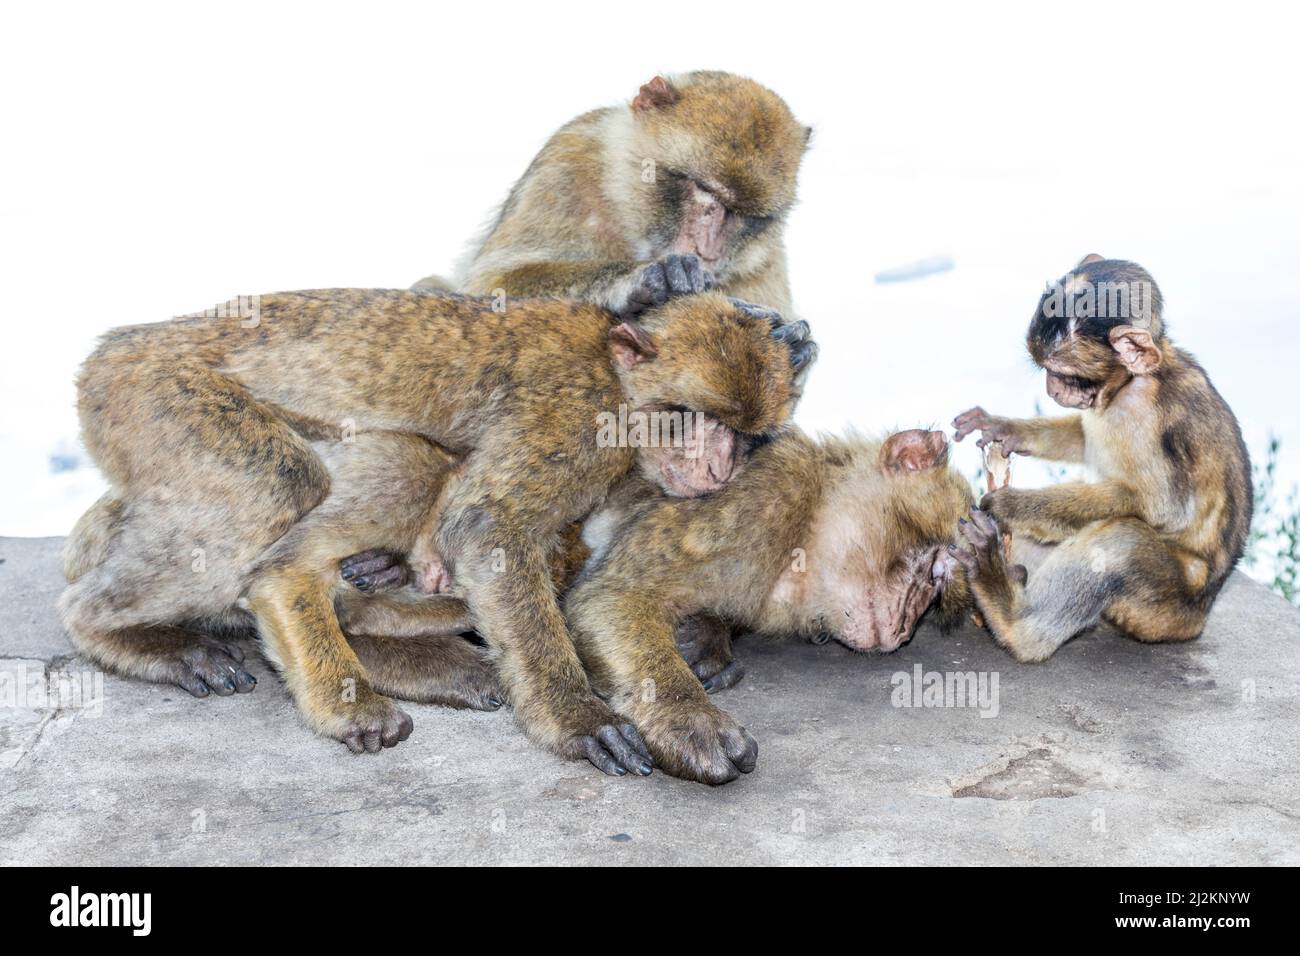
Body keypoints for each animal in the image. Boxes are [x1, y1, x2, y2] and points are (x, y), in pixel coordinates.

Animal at [63, 287, 811, 775]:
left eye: (745, 436)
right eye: (693, 417)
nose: (716, 465)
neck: (618, 382)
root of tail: (120, 343)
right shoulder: (579, 418)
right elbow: (487, 527)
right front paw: (579, 718)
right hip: (148, 397)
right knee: (293, 485)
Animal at [564, 429, 972, 785]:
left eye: (935, 598)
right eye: (935, 569)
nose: (905, 628)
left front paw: (708, 638)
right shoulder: (762, 497)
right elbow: (611, 596)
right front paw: (689, 719)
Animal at [951, 257, 1253, 671]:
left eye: (1065, 374)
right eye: (1045, 370)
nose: (1051, 388)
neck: (1130, 383)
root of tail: (1198, 619)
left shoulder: (1141, 417)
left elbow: (1161, 507)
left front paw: (1012, 505)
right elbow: (1083, 439)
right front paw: (1005, 428)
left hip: (1163, 608)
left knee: (1122, 541)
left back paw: (1009, 613)